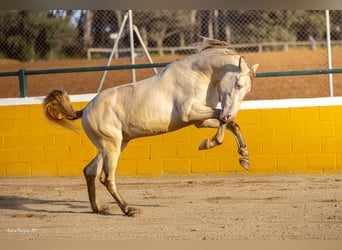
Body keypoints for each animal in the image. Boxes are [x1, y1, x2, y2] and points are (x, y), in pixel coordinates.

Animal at [43, 38, 260, 216]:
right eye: (238, 84)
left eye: (247, 89)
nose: (231, 112)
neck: (198, 74)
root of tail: (86, 109)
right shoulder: (190, 112)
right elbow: (223, 120)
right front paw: (210, 143)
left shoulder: (200, 120)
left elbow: (230, 124)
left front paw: (244, 158)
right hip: (111, 146)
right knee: (106, 178)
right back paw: (129, 209)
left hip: (113, 145)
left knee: (90, 171)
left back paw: (99, 208)